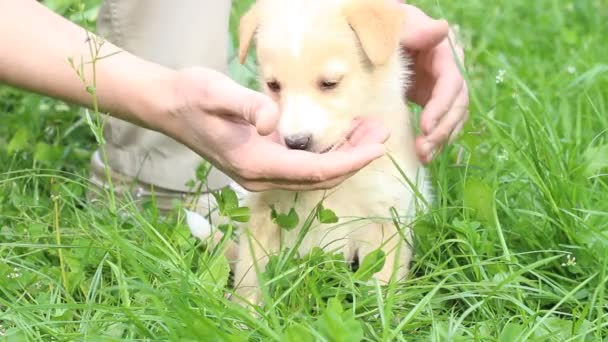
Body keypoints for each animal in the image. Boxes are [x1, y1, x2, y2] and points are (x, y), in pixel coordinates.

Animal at [230, 0, 430, 304]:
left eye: (329, 83)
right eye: (274, 85)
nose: (296, 143)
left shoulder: (387, 215)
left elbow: (381, 280)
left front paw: (377, 313)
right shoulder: (263, 212)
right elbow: (251, 275)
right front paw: (244, 312)